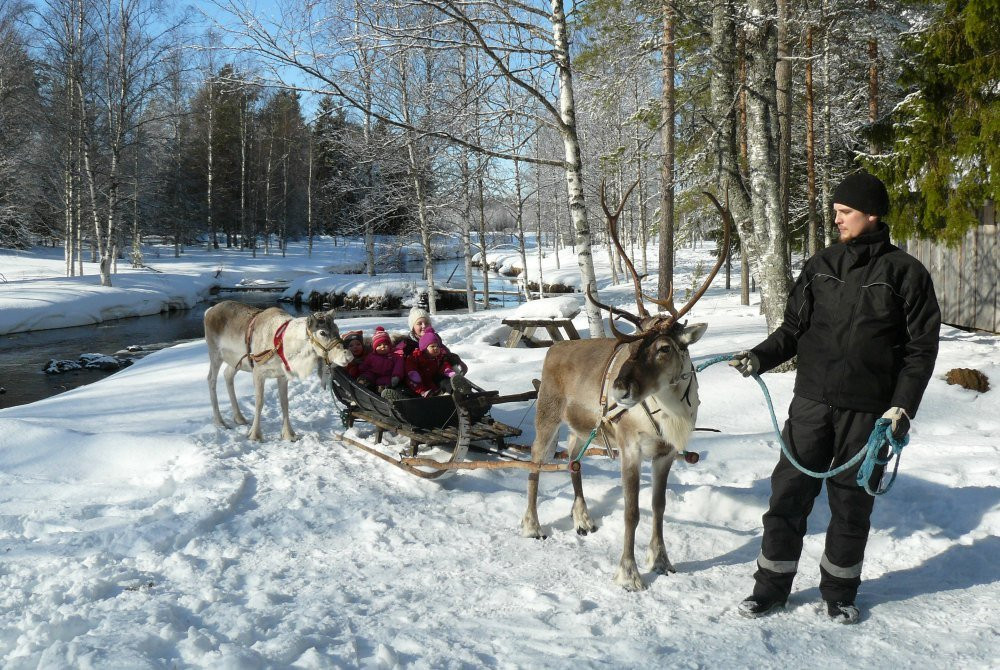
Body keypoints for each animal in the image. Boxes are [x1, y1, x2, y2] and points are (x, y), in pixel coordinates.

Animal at [205, 300, 354, 441]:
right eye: (322, 332)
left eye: (336, 328)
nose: (348, 357)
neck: (284, 345)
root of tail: (209, 311)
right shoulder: (258, 372)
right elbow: (259, 402)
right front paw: (255, 435)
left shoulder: (282, 376)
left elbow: (284, 403)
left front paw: (289, 434)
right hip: (215, 354)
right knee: (211, 379)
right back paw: (220, 422)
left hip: (237, 362)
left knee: (227, 375)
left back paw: (239, 418)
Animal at [520, 182, 731, 591]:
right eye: (631, 344)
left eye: (665, 347)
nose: (618, 389)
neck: (670, 415)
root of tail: (554, 347)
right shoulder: (631, 448)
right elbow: (631, 511)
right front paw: (629, 573)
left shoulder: (666, 454)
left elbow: (658, 507)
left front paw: (662, 560)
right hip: (546, 415)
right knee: (535, 462)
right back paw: (532, 526)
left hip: (581, 427)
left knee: (572, 461)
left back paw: (583, 519)